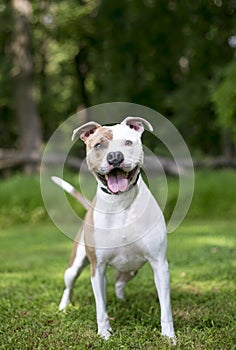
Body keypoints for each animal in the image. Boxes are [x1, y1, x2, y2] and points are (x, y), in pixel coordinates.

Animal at [53, 117, 175, 342]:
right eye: (98, 145)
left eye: (128, 142)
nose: (115, 157)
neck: (120, 202)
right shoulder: (97, 268)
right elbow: (100, 307)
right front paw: (104, 334)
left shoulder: (160, 264)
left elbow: (166, 307)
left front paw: (169, 337)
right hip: (75, 265)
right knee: (69, 284)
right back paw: (64, 307)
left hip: (133, 267)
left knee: (120, 280)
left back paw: (121, 301)